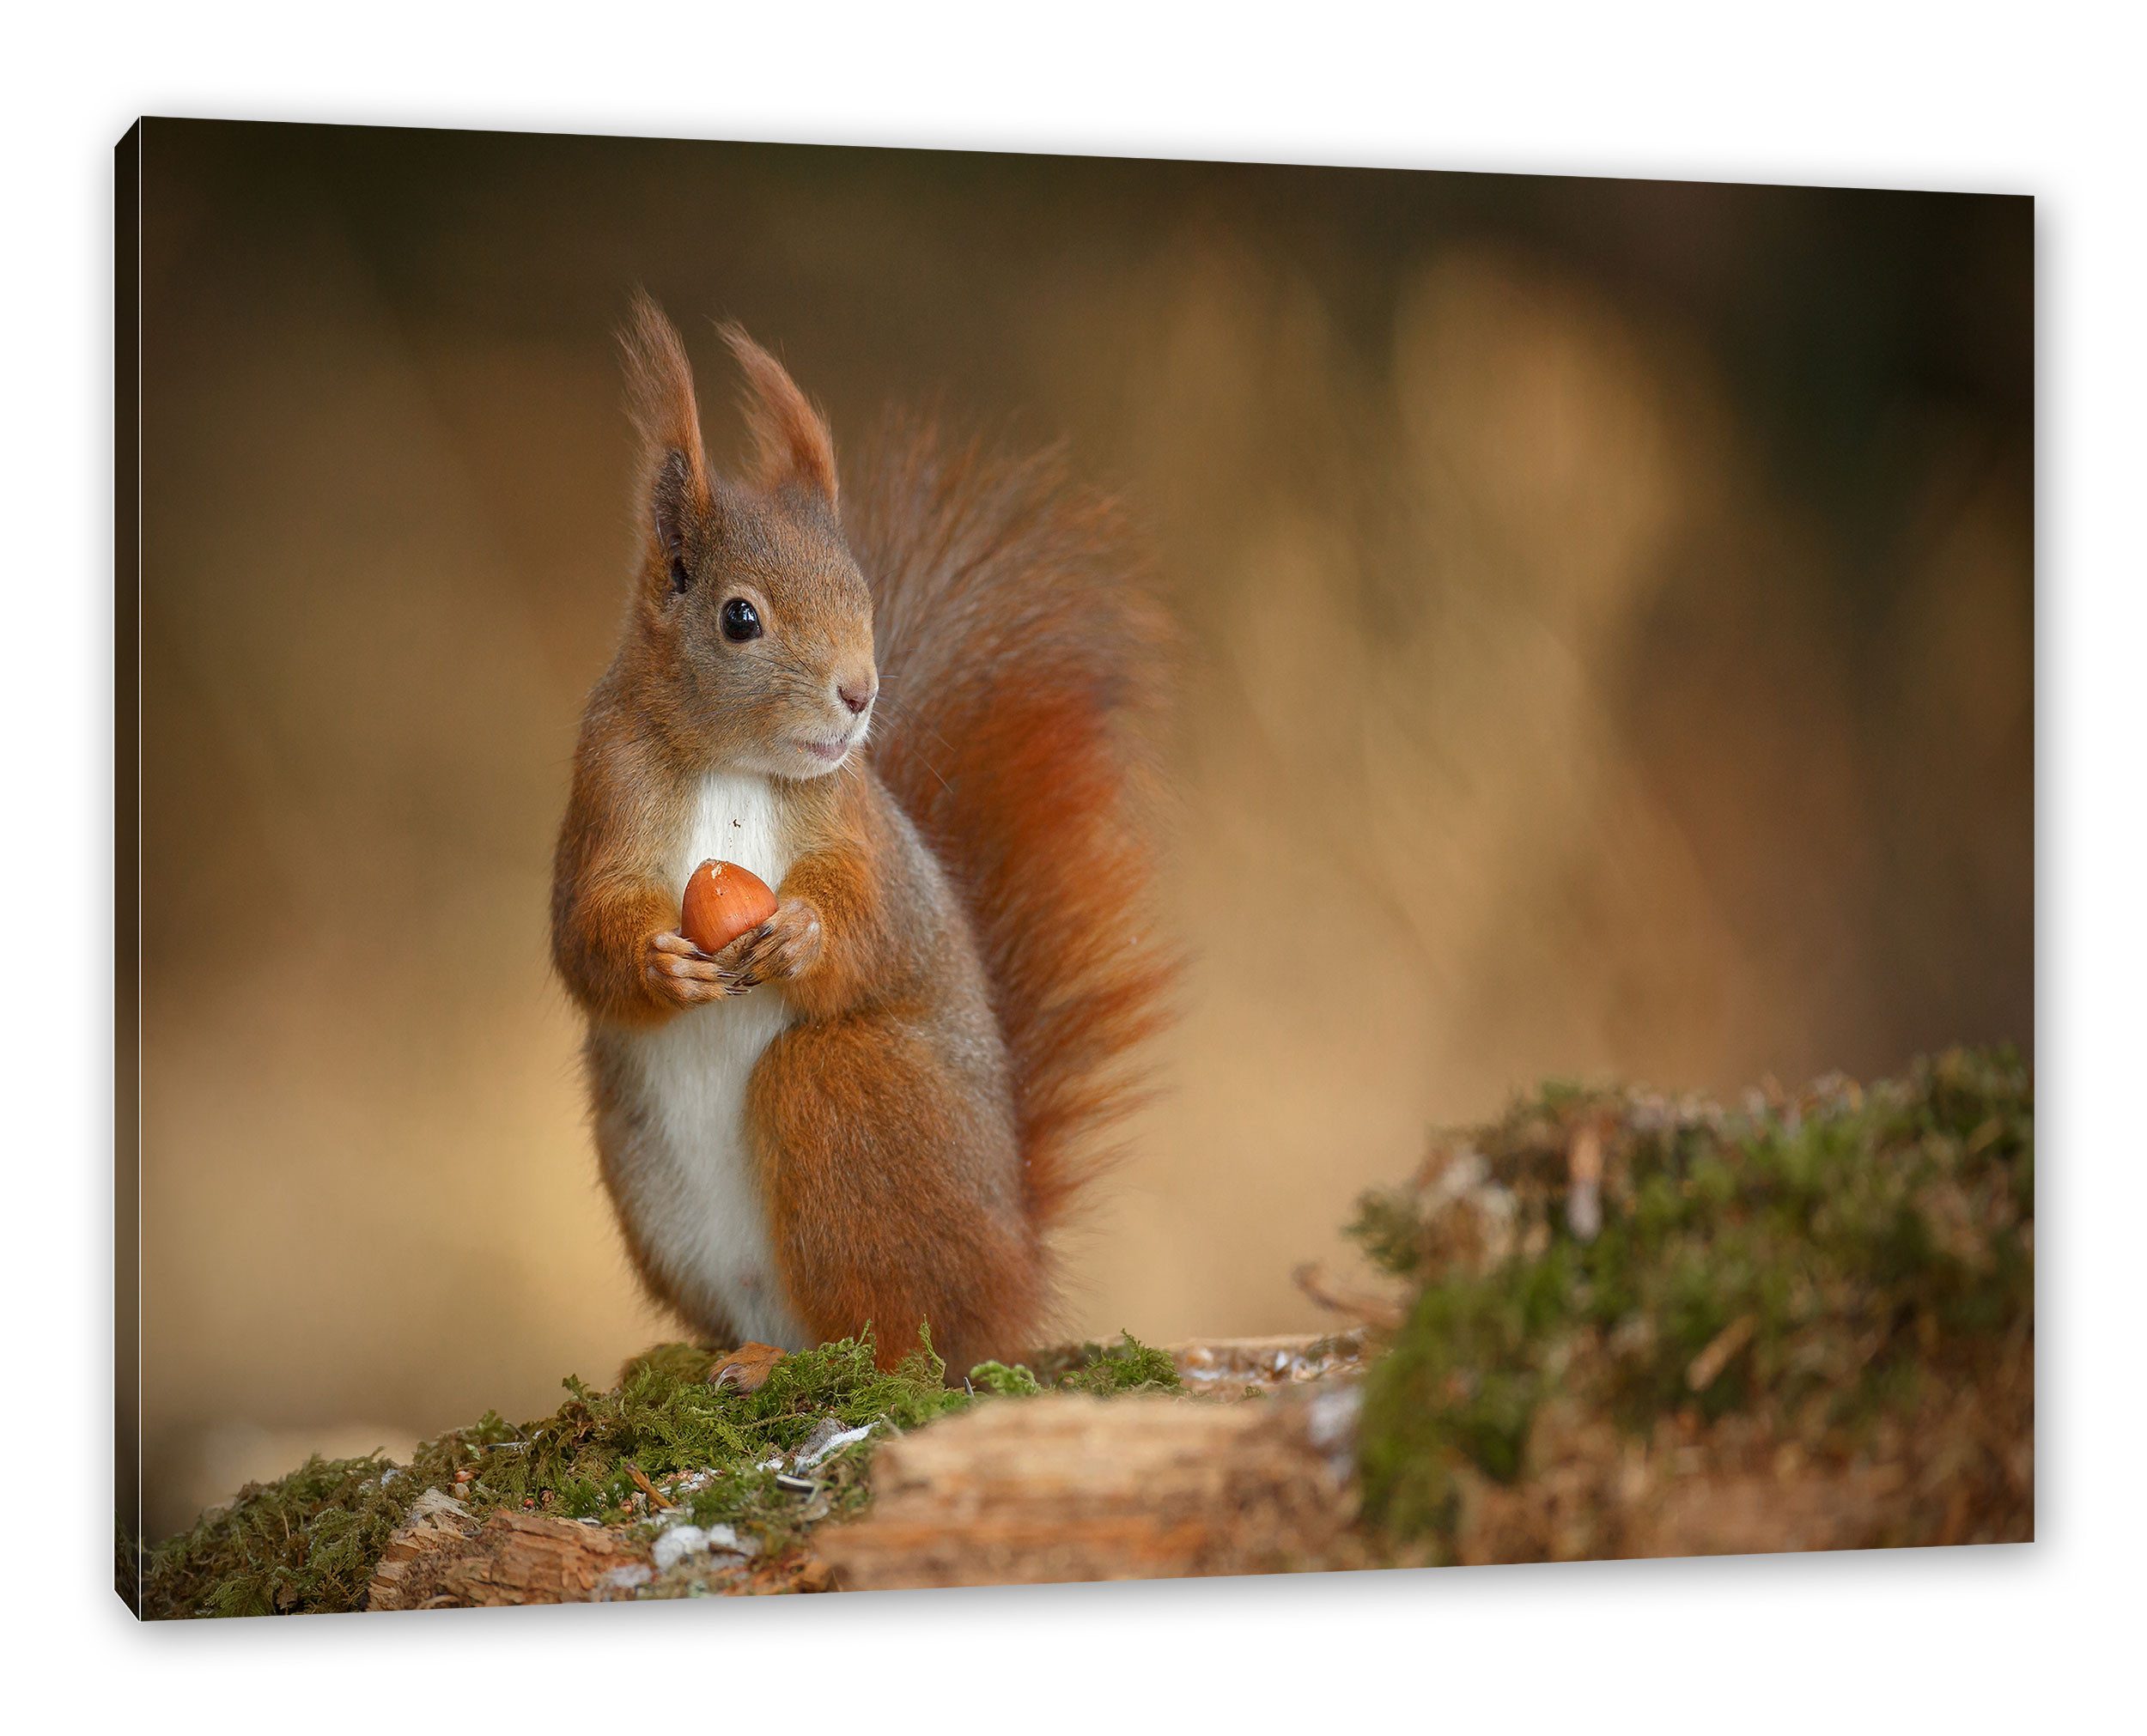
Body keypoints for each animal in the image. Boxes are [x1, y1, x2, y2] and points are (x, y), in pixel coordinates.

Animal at [550, 293, 1175, 1376]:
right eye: (739, 618)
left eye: (861, 594)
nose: (859, 694)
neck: (732, 764)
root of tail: (1012, 1281)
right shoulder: (604, 792)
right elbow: (583, 932)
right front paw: (658, 964)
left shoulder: (859, 827)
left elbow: (874, 919)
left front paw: (805, 936)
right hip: (647, 1180)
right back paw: (727, 1357)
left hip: (848, 1093)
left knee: (893, 1334)